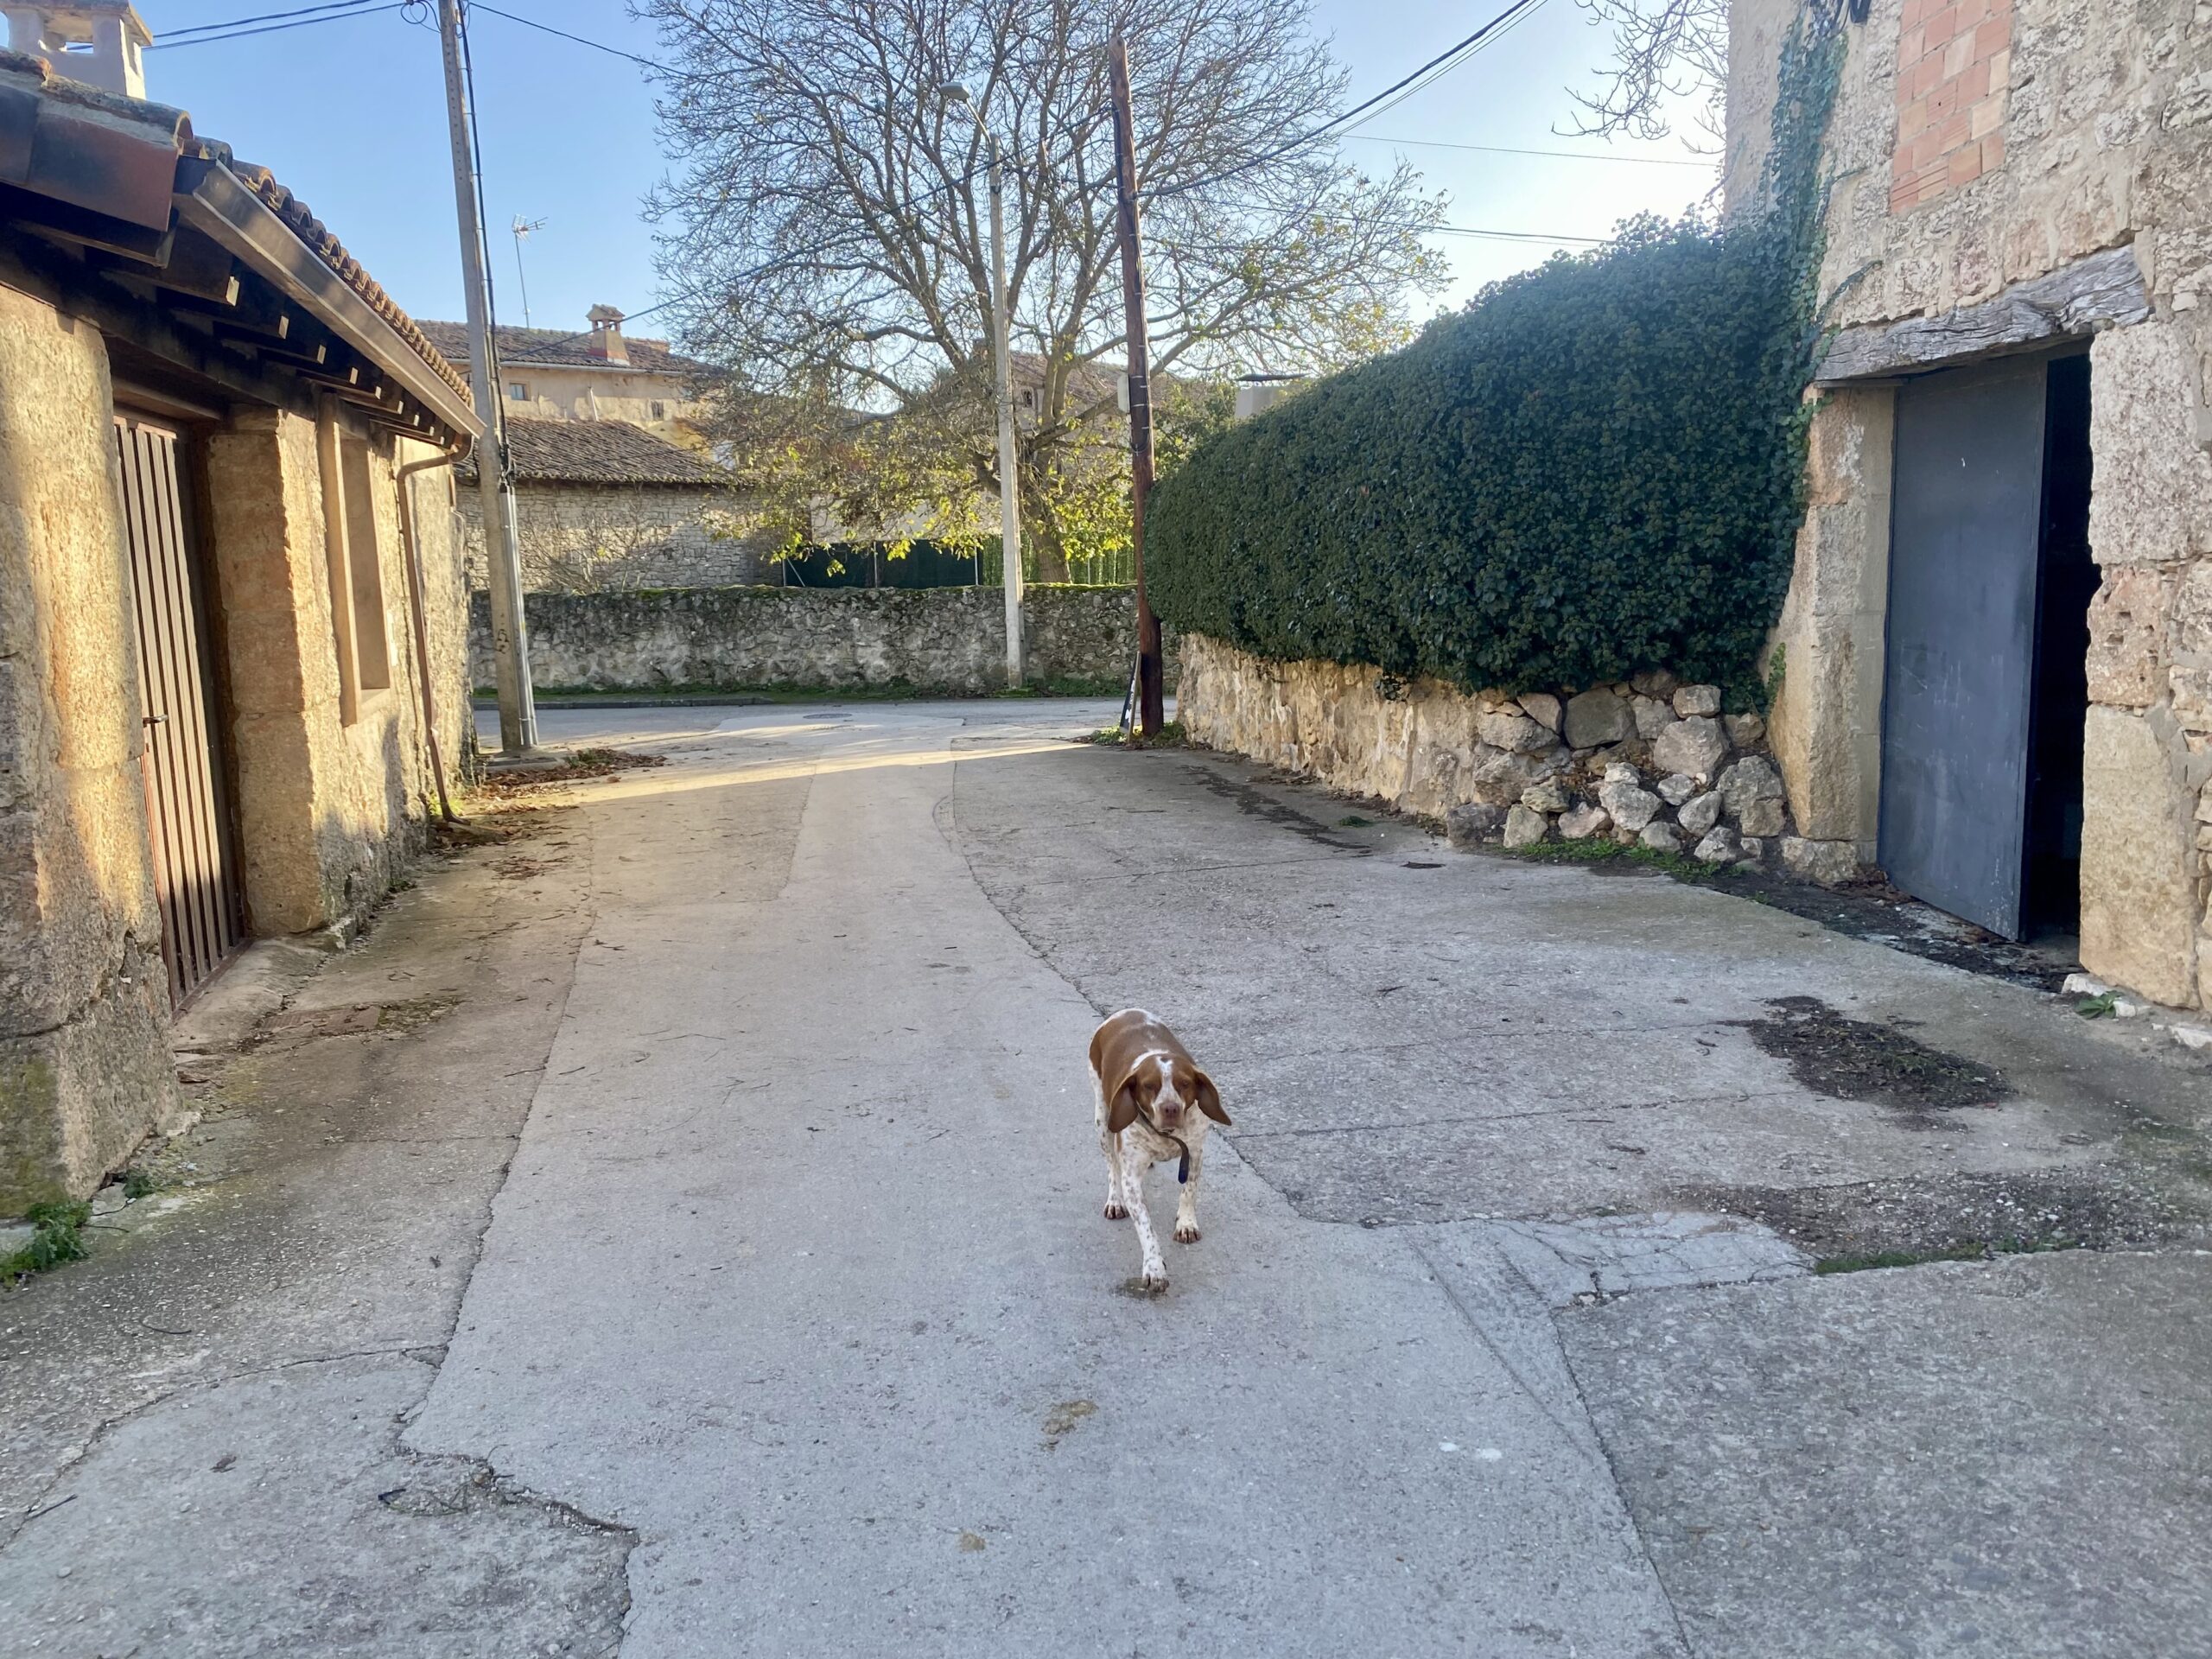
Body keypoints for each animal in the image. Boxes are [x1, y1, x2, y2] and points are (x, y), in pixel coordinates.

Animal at [1089, 1009, 1230, 1290]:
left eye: (1184, 1084)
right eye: (1149, 1085)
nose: (1171, 1108)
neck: (1166, 1136)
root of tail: (1125, 1012)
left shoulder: (1194, 1153)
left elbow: (1189, 1191)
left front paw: (1186, 1224)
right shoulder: (1131, 1179)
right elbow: (1146, 1228)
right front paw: (1154, 1267)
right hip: (1102, 1120)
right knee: (1112, 1166)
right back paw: (1114, 1200)